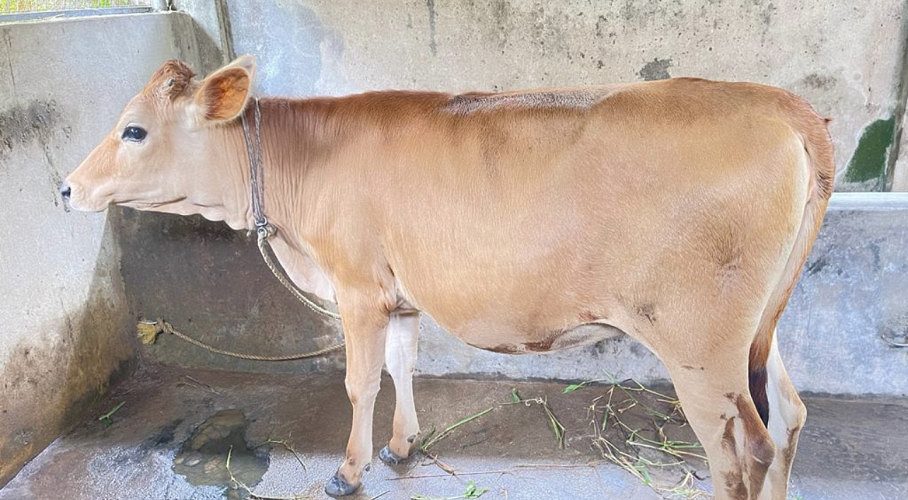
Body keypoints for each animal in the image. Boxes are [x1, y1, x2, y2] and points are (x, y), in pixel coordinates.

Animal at [62, 55, 834, 499]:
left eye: (133, 130)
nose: (66, 189)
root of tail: (781, 104)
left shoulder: (357, 287)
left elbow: (359, 381)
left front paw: (348, 471)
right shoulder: (398, 294)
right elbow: (402, 368)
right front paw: (402, 446)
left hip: (698, 342)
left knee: (744, 450)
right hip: (755, 329)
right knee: (789, 413)